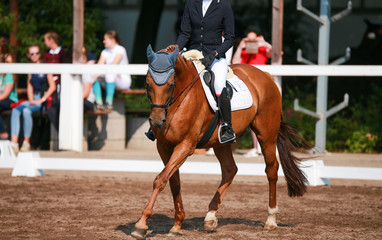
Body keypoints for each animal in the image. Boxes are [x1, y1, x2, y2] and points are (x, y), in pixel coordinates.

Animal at [131, 45, 310, 238]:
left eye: (171, 84)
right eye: (147, 84)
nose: (157, 121)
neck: (179, 99)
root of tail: (266, 75)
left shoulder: (186, 146)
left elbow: (160, 179)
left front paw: (141, 225)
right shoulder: (164, 146)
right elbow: (172, 181)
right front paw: (177, 224)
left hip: (266, 134)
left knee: (271, 169)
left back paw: (270, 220)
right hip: (220, 143)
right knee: (230, 170)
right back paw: (210, 218)